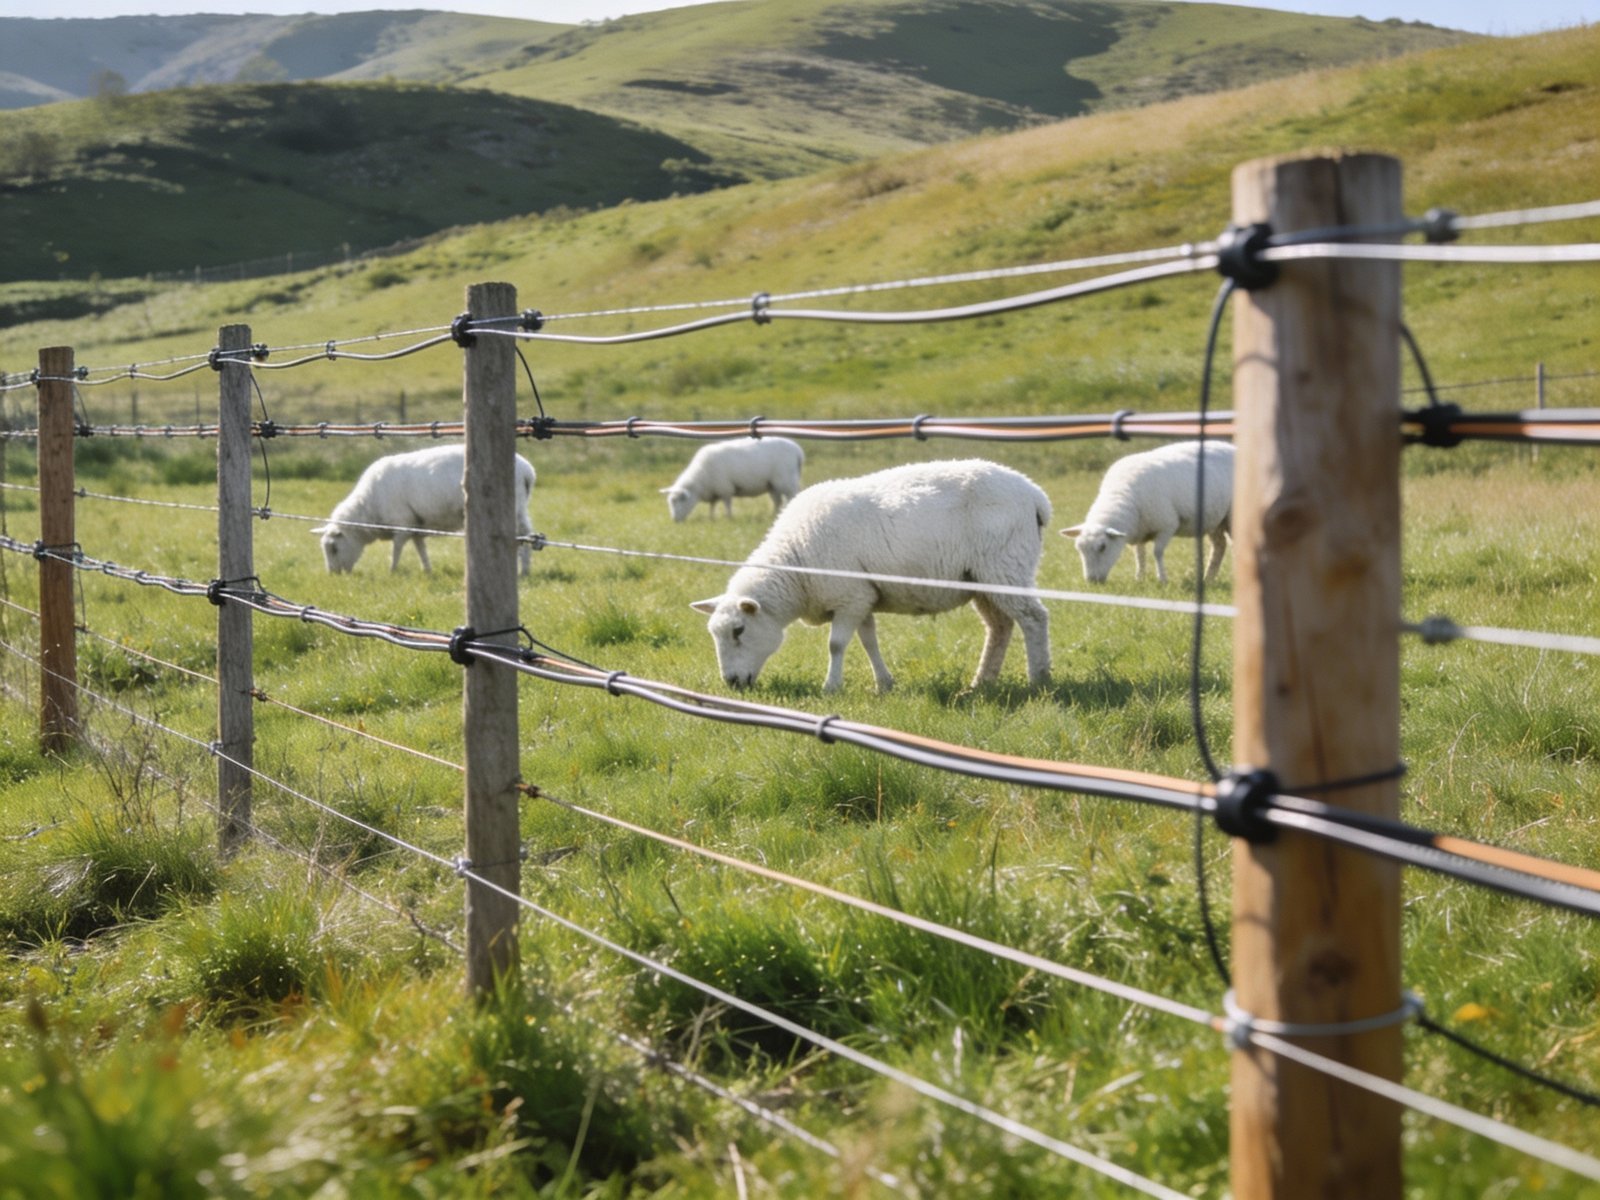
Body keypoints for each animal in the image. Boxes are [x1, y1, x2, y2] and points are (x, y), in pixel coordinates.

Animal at [312, 443, 536, 576]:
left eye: (333, 547)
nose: (333, 575)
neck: (368, 508)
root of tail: (527, 470)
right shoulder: (416, 525)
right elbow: (421, 549)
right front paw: (427, 571)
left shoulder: (402, 523)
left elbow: (396, 549)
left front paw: (392, 571)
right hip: (520, 508)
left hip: (514, 508)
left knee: (522, 536)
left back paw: (523, 571)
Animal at [661, 436, 805, 522]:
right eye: (670, 502)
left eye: (679, 501)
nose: (674, 520)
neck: (700, 479)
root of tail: (798, 451)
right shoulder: (714, 490)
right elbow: (712, 505)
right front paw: (711, 518)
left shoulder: (725, 488)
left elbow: (727, 504)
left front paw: (729, 518)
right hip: (773, 485)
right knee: (778, 501)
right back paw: (774, 515)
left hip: (787, 480)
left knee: (792, 496)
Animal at [690, 459, 1052, 693]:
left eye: (738, 630)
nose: (732, 684)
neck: (797, 566)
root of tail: (1035, 495)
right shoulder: (861, 597)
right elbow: (868, 642)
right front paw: (884, 684)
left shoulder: (848, 596)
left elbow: (836, 645)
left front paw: (831, 687)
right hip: (981, 578)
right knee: (1000, 626)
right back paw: (981, 683)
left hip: (1006, 565)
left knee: (1034, 618)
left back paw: (1039, 679)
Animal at [1061, 440, 1234, 585]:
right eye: (1079, 548)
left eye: (1102, 547)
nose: (1092, 582)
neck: (1122, 494)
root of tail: (1231, 447)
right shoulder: (1139, 530)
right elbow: (1140, 555)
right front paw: (1139, 578)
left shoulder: (1167, 525)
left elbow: (1157, 552)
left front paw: (1162, 579)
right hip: (1215, 520)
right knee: (1220, 546)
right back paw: (1208, 579)